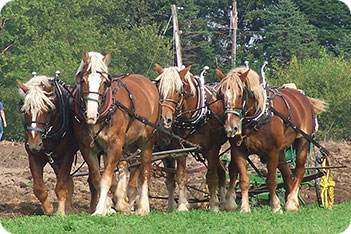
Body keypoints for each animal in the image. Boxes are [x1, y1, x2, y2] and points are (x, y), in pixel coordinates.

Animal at [16, 75, 78, 216]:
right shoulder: (34, 155)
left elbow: (61, 185)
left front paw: (60, 212)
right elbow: (39, 188)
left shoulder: (68, 154)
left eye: (46, 109)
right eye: (25, 110)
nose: (34, 144)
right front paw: (49, 209)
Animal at [74, 50, 160, 215]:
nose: (91, 115)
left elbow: (106, 179)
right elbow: (97, 178)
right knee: (125, 167)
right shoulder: (87, 148)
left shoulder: (115, 145)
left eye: (104, 83)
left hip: (147, 140)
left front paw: (100, 209)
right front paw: (109, 205)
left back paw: (143, 207)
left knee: (145, 170)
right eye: (83, 80)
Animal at [156, 64, 228, 212]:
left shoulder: (212, 149)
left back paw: (225, 203)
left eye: (178, 90)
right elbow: (181, 177)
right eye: (160, 89)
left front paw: (214, 206)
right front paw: (182, 206)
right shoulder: (179, 149)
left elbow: (211, 177)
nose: (165, 119)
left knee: (221, 172)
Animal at [216, 66, 328, 213]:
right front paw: (244, 207)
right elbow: (244, 180)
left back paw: (292, 202)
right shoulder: (238, 151)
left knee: (299, 170)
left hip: (302, 142)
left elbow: (271, 181)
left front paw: (275, 206)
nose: (231, 128)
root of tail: (303, 97)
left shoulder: (272, 152)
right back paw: (290, 200)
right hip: (281, 151)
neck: (257, 118)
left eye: (240, 95)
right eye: (221, 95)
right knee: (287, 174)